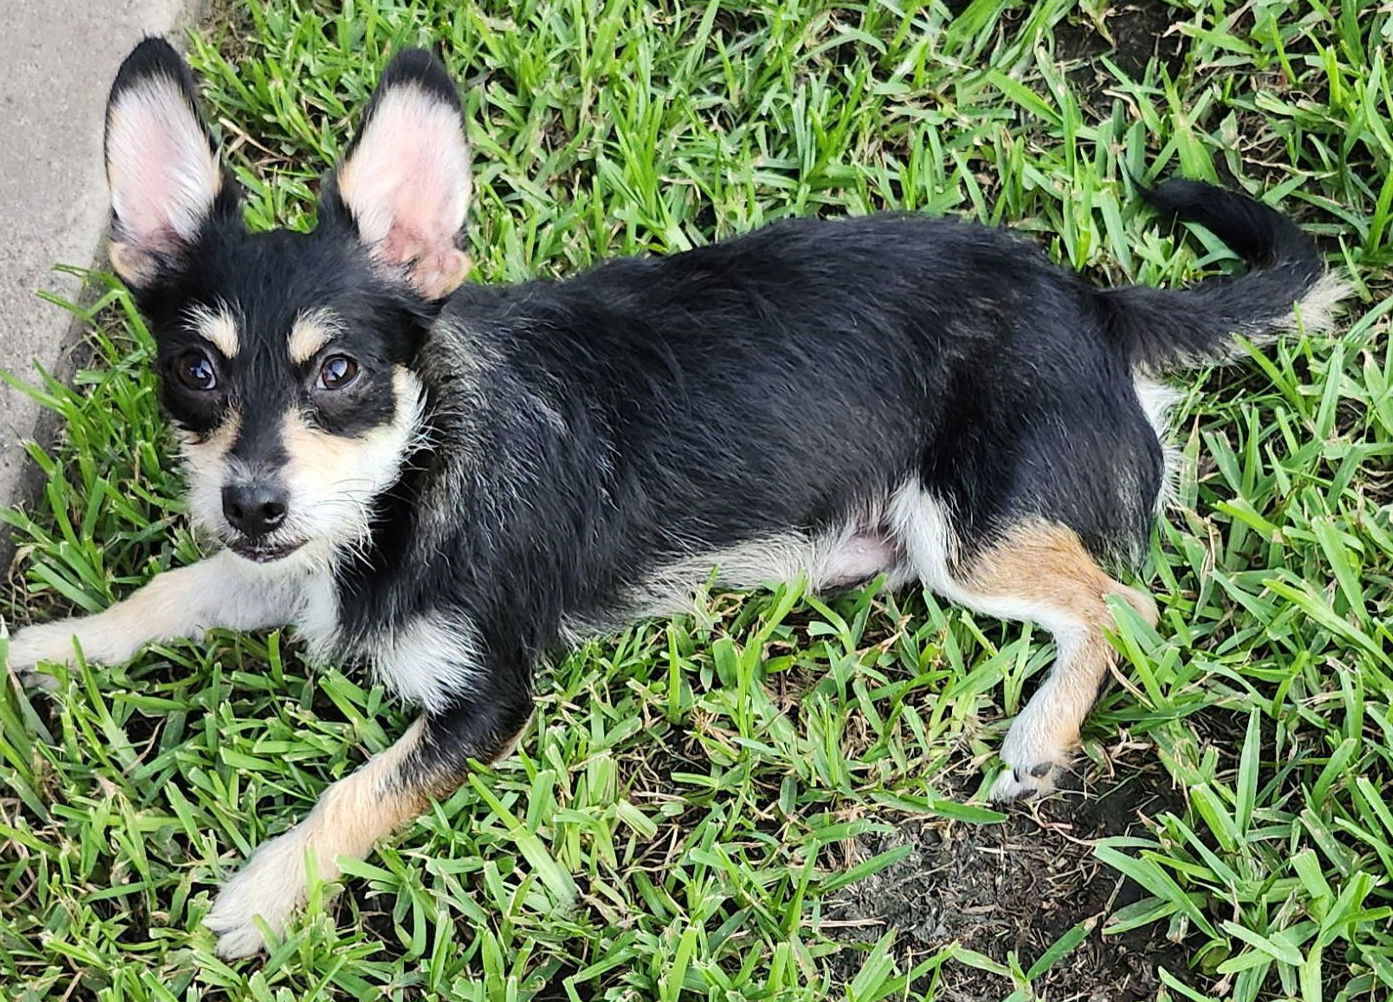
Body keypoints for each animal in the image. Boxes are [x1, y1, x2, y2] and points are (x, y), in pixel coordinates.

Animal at [5, 41, 1342, 964]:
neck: (411, 476)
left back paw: (1037, 739)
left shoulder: (486, 701)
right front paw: (47, 647)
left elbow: (356, 793)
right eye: (195, 370)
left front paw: (263, 895)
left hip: (968, 532)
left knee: (1121, 603)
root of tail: (1090, 298)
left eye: (337, 371)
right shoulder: (280, 563)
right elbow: (166, 593)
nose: (250, 502)